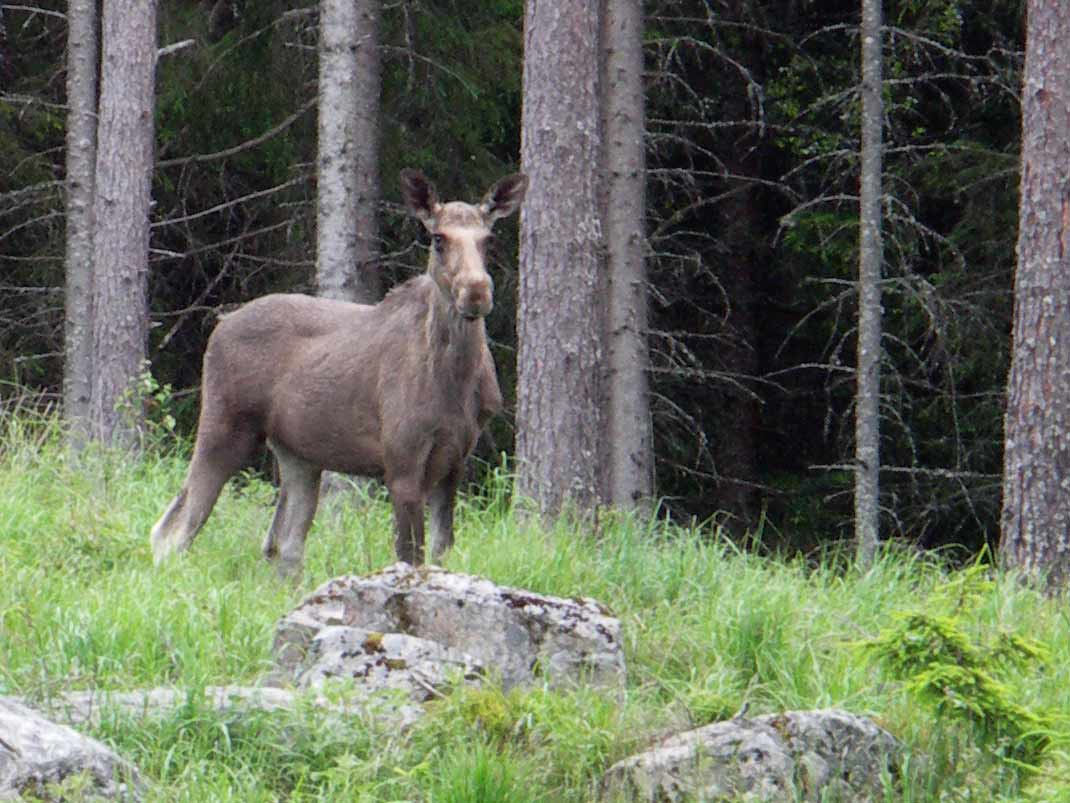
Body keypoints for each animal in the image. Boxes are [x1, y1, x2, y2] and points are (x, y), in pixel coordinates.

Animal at [151, 170, 530, 573]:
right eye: (438, 238)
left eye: (488, 239)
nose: (476, 292)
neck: (456, 380)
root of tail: (218, 327)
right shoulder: (402, 463)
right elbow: (410, 556)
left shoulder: (455, 462)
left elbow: (441, 553)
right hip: (225, 425)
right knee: (174, 530)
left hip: (297, 454)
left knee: (281, 546)